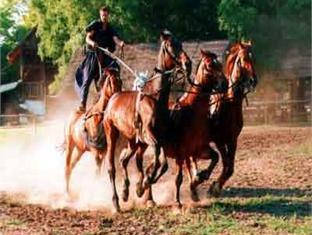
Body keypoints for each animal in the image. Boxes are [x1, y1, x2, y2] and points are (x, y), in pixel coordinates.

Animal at [102, 30, 191, 212]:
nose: (188, 64)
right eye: (171, 45)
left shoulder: (162, 138)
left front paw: (142, 185)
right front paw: (143, 184)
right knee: (112, 166)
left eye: (181, 44)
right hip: (112, 134)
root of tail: (113, 98)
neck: (155, 98)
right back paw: (116, 202)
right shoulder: (150, 136)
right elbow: (156, 158)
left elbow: (163, 163)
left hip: (134, 141)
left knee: (124, 160)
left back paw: (126, 191)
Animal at [141, 49, 227, 206]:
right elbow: (178, 178)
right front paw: (177, 202)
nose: (225, 84)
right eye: (210, 65)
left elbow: (215, 157)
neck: (193, 111)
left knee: (151, 169)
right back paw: (148, 196)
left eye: (220, 64)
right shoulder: (181, 154)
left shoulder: (199, 150)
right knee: (151, 170)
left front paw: (200, 177)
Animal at [188, 41, 258, 197]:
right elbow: (225, 163)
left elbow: (230, 167)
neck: (230, 103)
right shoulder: (219, 140)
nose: (253, 81)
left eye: (253, 59)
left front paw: (215, 186)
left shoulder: (233, 140)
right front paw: (213, 187)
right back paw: (195, 178)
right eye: (243, 59)